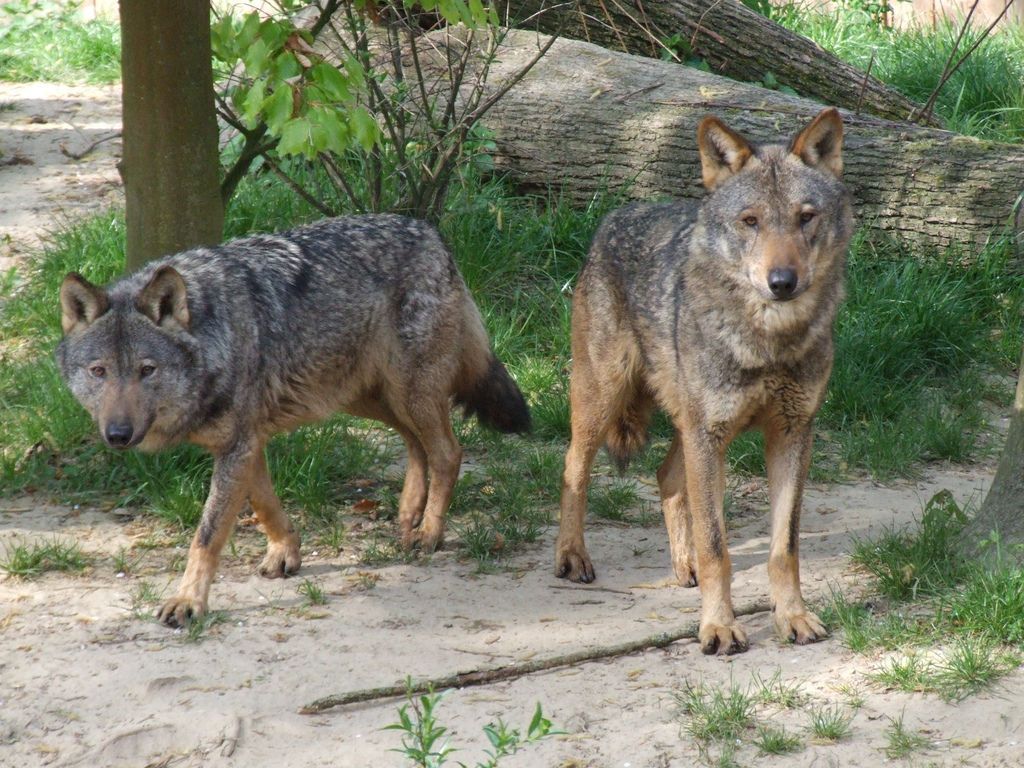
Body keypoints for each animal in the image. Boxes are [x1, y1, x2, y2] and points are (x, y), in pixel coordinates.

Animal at [57, 214, 531, 627]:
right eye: (99, 371)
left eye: (147, 370)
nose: (118, 435)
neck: (215, 337)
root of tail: (431, 232)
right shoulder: (246, 443)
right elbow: (265, 505)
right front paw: (286, 552)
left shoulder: (238, 446)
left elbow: (207, 534)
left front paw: (188, 601)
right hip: (363, 397)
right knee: (416, 443)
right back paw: (408, 511)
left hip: (407, 392)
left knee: (448, 451)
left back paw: (429, 531)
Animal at [555, 108, 853, 654]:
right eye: (751, 221)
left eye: (805, 217)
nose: (782, 282)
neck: (768, 343)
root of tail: (615, 216)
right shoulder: (709, 434)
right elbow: (719, 547)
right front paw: (718, 627)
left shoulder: (792, 433)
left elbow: (784, 548)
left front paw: (792, 616)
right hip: (606, 401)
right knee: (574, 467)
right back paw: (572, 557)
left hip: (689, 427)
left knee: (666, 478)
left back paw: (683, 565)